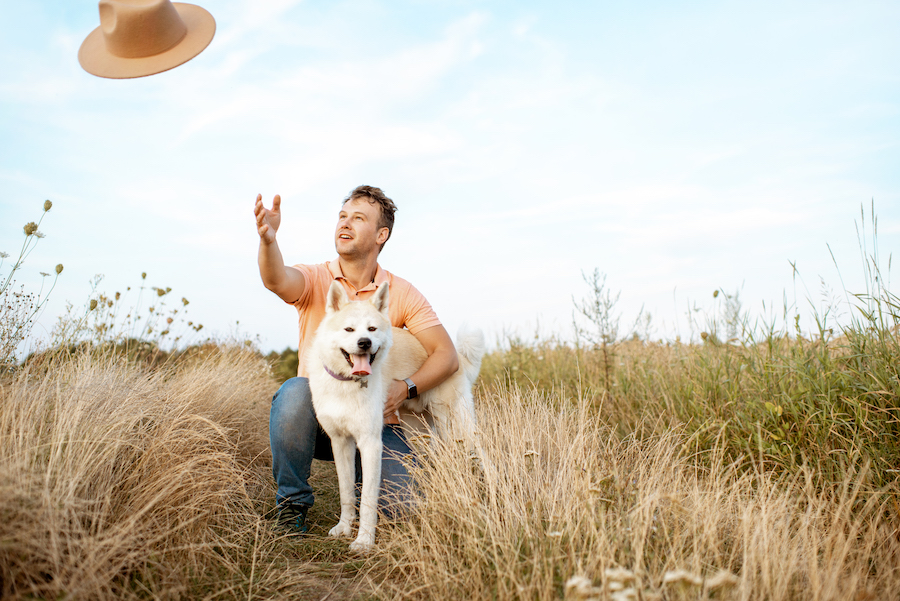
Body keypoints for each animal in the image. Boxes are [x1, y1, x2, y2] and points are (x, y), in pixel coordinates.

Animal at [306, 278, 482, 552]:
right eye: (349, 329)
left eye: (372, 329)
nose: (365, 343)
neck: (347, 383)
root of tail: (457, 356)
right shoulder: (341, 443)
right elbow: (346, 492)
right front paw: (345, 527)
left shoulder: (370, 444)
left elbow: (368, 500)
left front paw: (364, 540)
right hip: (420, 436)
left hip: (455, 426)